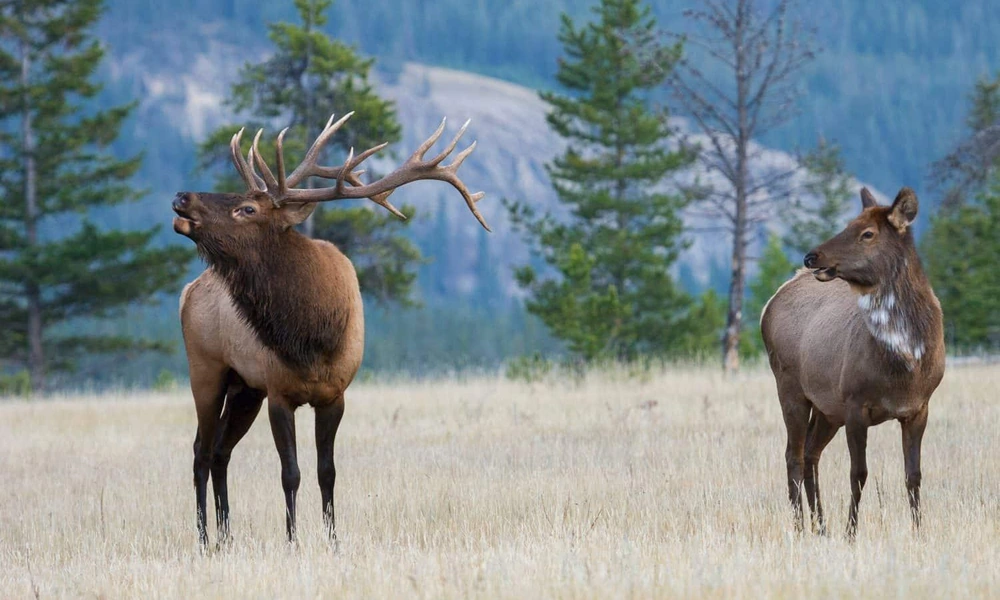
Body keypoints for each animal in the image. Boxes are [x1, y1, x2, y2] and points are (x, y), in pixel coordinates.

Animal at [171, 112, 489, 548]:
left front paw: (333, 540)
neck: (312, 336)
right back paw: (204, 539)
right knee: (199, 450)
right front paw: (293, 541)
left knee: (219, 451)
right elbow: (291, 474)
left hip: (244, 387)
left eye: (247, 208)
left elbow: (327, 472)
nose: (181, 197)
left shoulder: (334, 394)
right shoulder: (279, 393)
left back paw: (225, 536)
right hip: (205, 368)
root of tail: (188, 290)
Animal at [760, 187, 945, 539]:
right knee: (793, 455)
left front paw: (919, 531)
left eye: (867, 233)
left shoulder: (919, 407)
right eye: (848, 224)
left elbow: (913, 474)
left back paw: (821, 526)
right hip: (788, 385)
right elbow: (858, 473)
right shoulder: (855, 403)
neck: (905, 366)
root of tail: (771, 301)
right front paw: (850, 532)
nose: (811, 257)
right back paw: (800, 527)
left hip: (827, 408)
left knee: (811, 453)